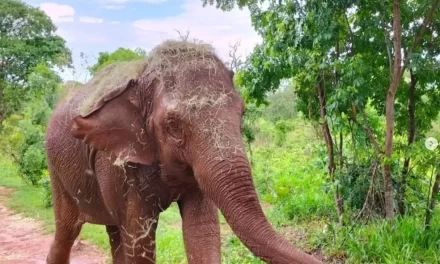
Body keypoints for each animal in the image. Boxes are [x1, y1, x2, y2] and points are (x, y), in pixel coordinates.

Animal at [43, 39, 324, 264]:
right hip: (56, 173)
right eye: (173, 126)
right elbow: (139, 241)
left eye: (242, 113)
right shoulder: (118, 164)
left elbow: (201, 231)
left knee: (113, 232)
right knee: (67, 231)